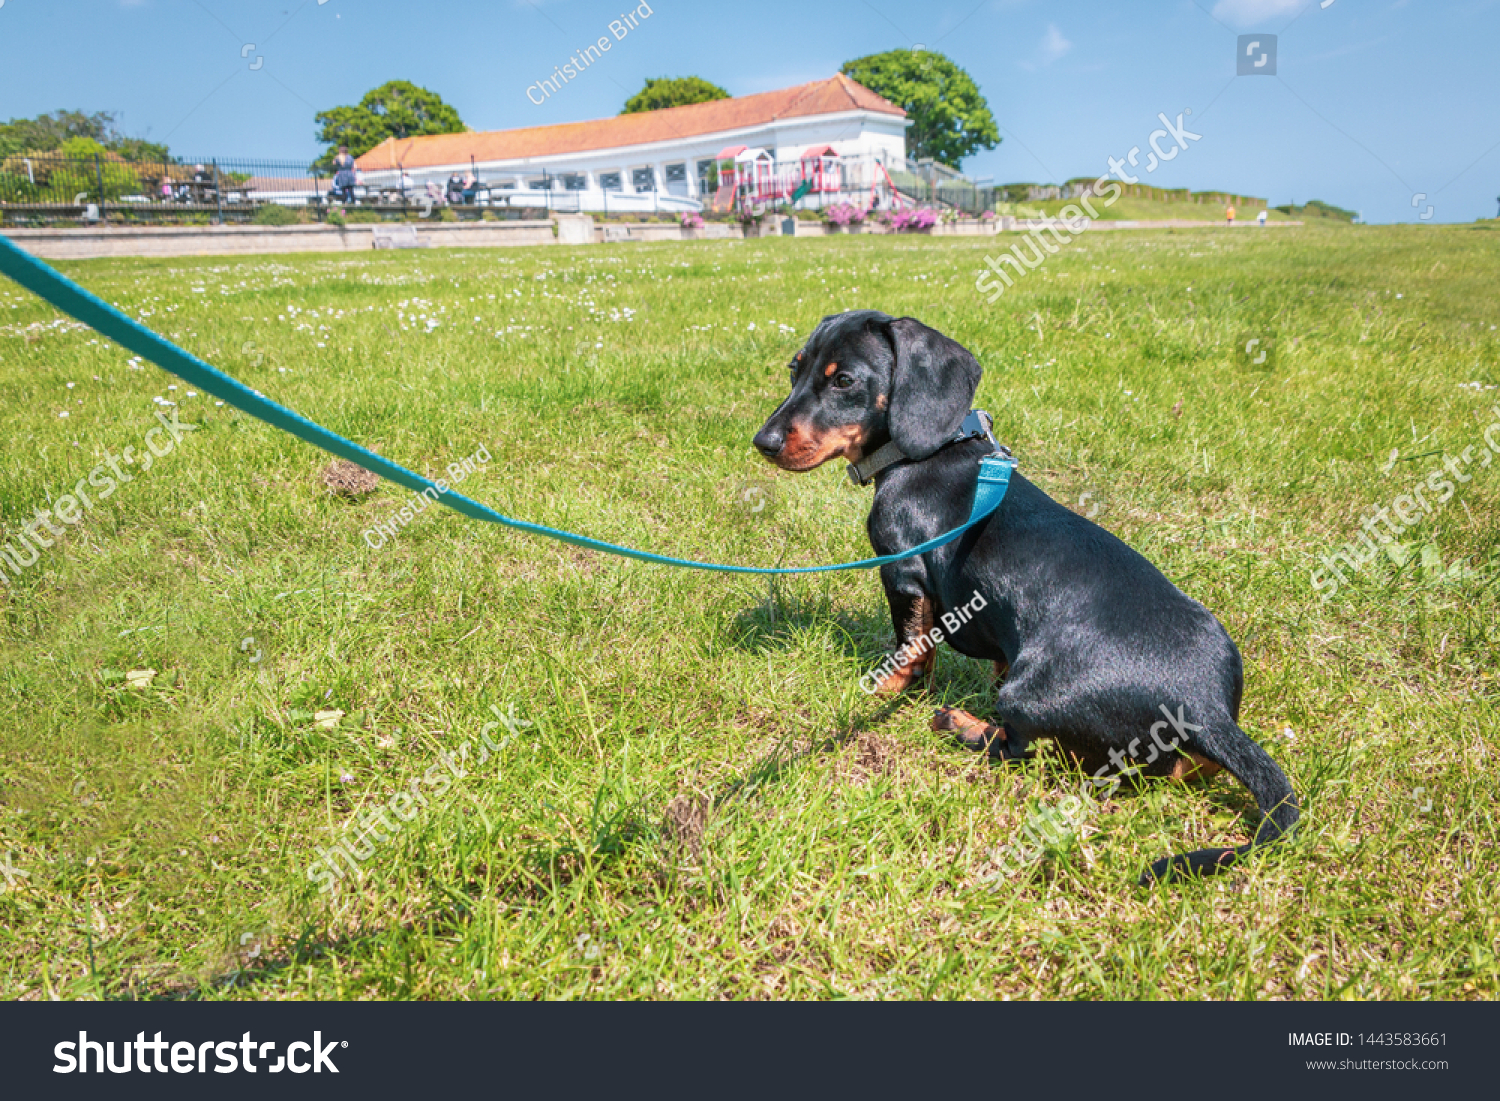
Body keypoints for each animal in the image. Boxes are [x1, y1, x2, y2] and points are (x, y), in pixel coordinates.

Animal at [756, 310, 1296, 888]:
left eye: (844, 381)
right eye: (795, 369)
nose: (761, 441)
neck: (926, 452)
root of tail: (1203, 709)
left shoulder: (903, 572)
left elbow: (911, 646)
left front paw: (888, 688)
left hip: (1026, 695)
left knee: (1025, 751)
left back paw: (963, 726)